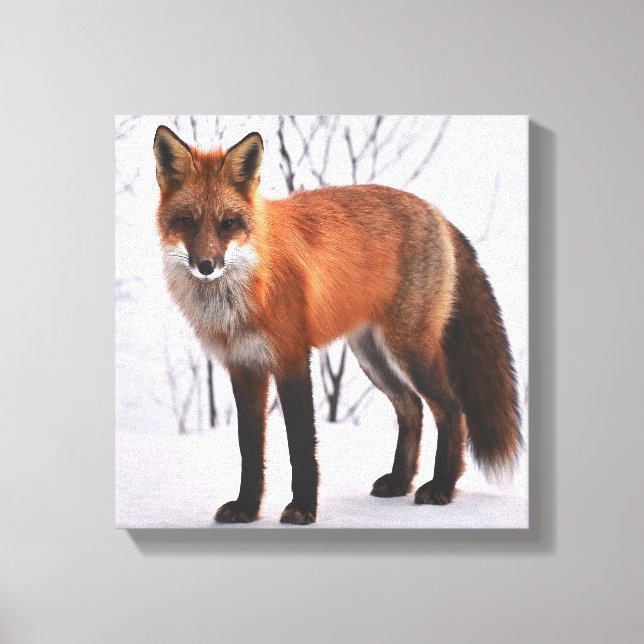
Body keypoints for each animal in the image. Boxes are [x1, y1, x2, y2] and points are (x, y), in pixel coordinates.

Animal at [153, 124, 522, 525]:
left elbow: (301, 445)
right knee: (411, 408)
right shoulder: (243, 366)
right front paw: (247, 508)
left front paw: (302, 508)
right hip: (372, 356)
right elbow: (249, 449)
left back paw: (441, 487)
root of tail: (436, 212)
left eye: (228, 224)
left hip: (409, 350)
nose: (206, 266)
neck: (242, 294)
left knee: (452, 410)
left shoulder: (292, 358)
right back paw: (400, 482)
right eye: (187, 221)